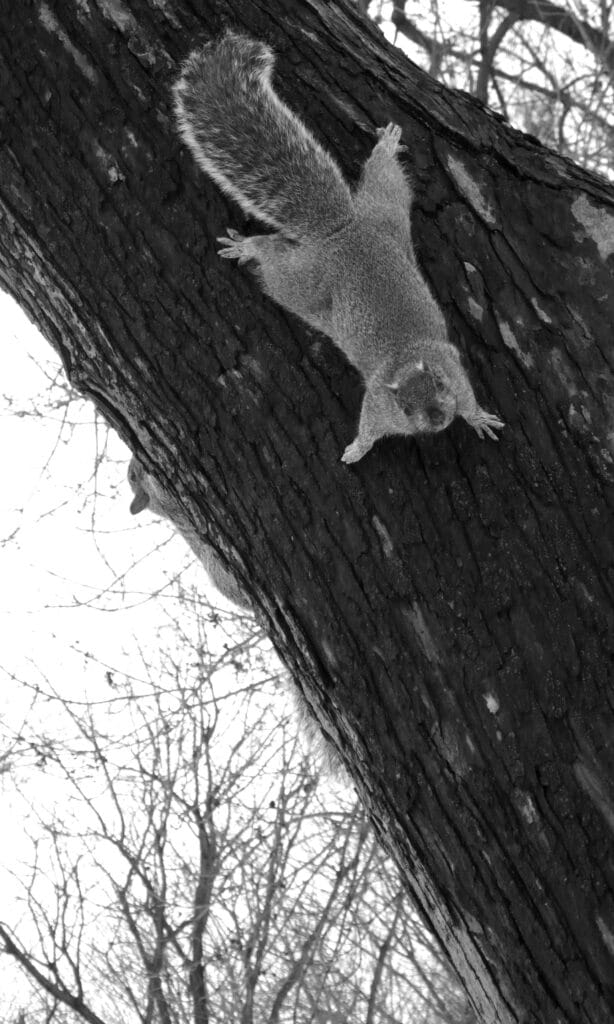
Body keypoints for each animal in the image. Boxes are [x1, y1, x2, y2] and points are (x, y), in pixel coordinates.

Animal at [173, 32, 504, 463]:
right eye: (406, 408)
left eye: (441, 387)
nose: (437, 418)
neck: (407, 360)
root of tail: (341, 231)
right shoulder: (379, 403)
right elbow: (369, 429)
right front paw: (356, 450)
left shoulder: (455, 373)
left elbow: (469, 401)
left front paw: (478, 418)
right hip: (304, 282)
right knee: (276, 263)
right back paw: (250, 247)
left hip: (386, 212)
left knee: (383, 178)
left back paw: (385, 148)